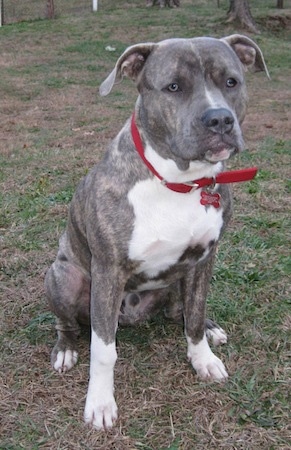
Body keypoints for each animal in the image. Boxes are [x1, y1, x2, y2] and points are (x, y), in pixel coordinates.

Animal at [44, 34, 270, 428]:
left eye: (231, 81)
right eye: (173, 87)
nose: (219, 119)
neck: (179, 181)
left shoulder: (203, 259)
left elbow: (193, 317)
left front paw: (203, 358)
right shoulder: (108, 271)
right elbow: (103, 351)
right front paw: (100, 402)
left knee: (181, 311)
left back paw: (211, 327)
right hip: (63, 276)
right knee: (67, 322)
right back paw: (66, 350)